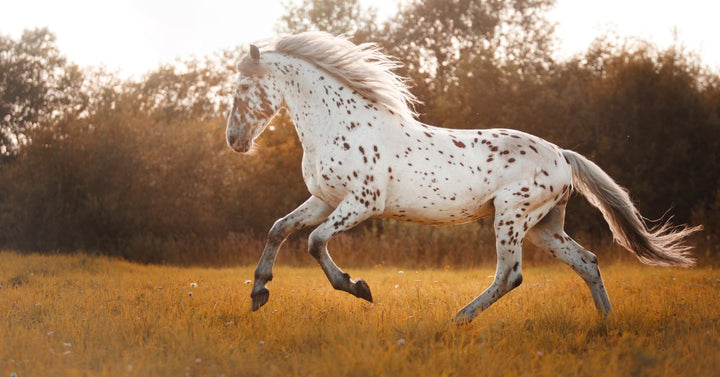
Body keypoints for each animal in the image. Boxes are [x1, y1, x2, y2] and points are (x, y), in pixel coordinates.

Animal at [225, 31, 696, 324]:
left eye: (243, 88)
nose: (234, 140)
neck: (340, 123)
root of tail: (562, 155)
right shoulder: (324, 199)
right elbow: (279, 229)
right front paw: (258, 293)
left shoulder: (362, 202)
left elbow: (314, 241)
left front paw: (359, 288)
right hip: (544, 227)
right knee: (588, 262)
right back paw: (606, 321)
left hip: (511, 217)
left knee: (510, 275)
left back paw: (458, 319)